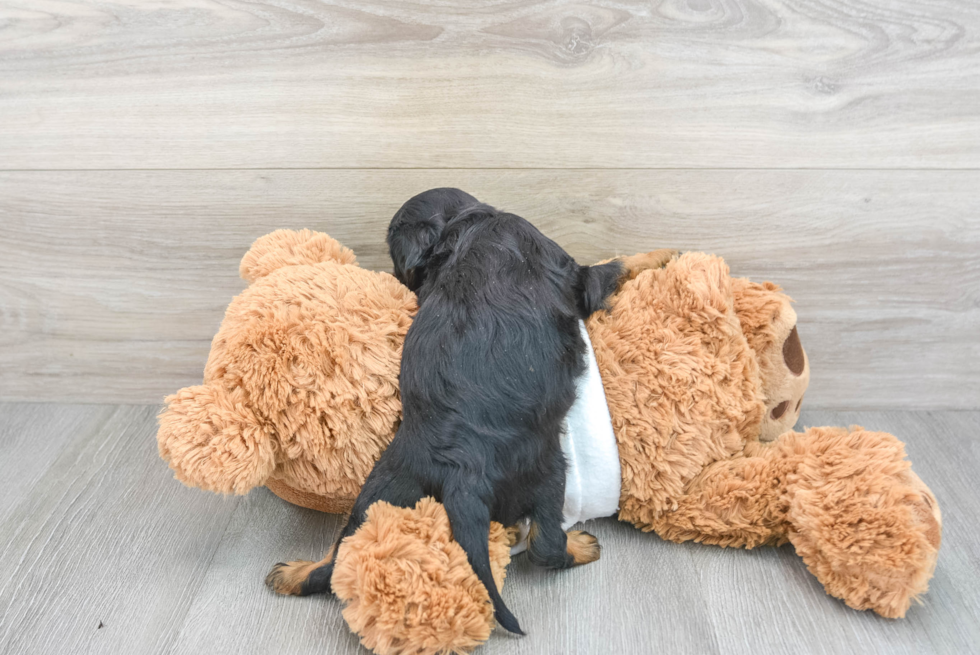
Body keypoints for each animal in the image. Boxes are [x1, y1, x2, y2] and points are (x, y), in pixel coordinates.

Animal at [268, 188, 628, 636]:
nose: (401, 280)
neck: (467, 225)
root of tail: (461, 470)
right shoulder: (572, 273)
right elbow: (607, 271)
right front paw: (654, 258)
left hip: (387, 485)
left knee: (338, 559)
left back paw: (292, 574)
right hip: (547, 469)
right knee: (544, 545)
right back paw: (579, 546)